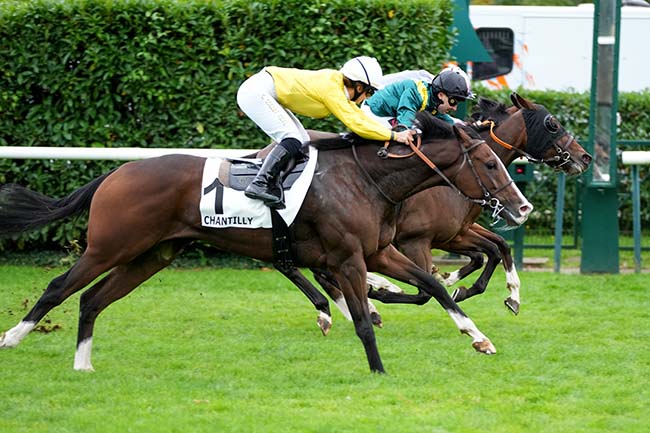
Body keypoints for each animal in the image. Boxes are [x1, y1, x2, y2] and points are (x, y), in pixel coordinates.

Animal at [0, 113, 532, 372]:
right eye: (489, 163)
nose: (523, 207)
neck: (367, 179)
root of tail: (115, 173)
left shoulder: (380, 251)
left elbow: (434, 286)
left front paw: (478, 337)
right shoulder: (349, 257)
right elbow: (364, 319)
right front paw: (379, 370)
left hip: (152, 255)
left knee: (91, 300)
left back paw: (83, 365)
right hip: (109, 247)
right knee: (59, 288)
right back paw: (12, 339)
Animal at [274, 93, 592, 332]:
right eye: (553, 124)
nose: (585, 157)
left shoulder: (455, 232)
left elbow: (495, 248)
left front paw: (484, 291)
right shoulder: (420, 239)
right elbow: (427, 289)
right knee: (306, 268)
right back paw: (362, 299)